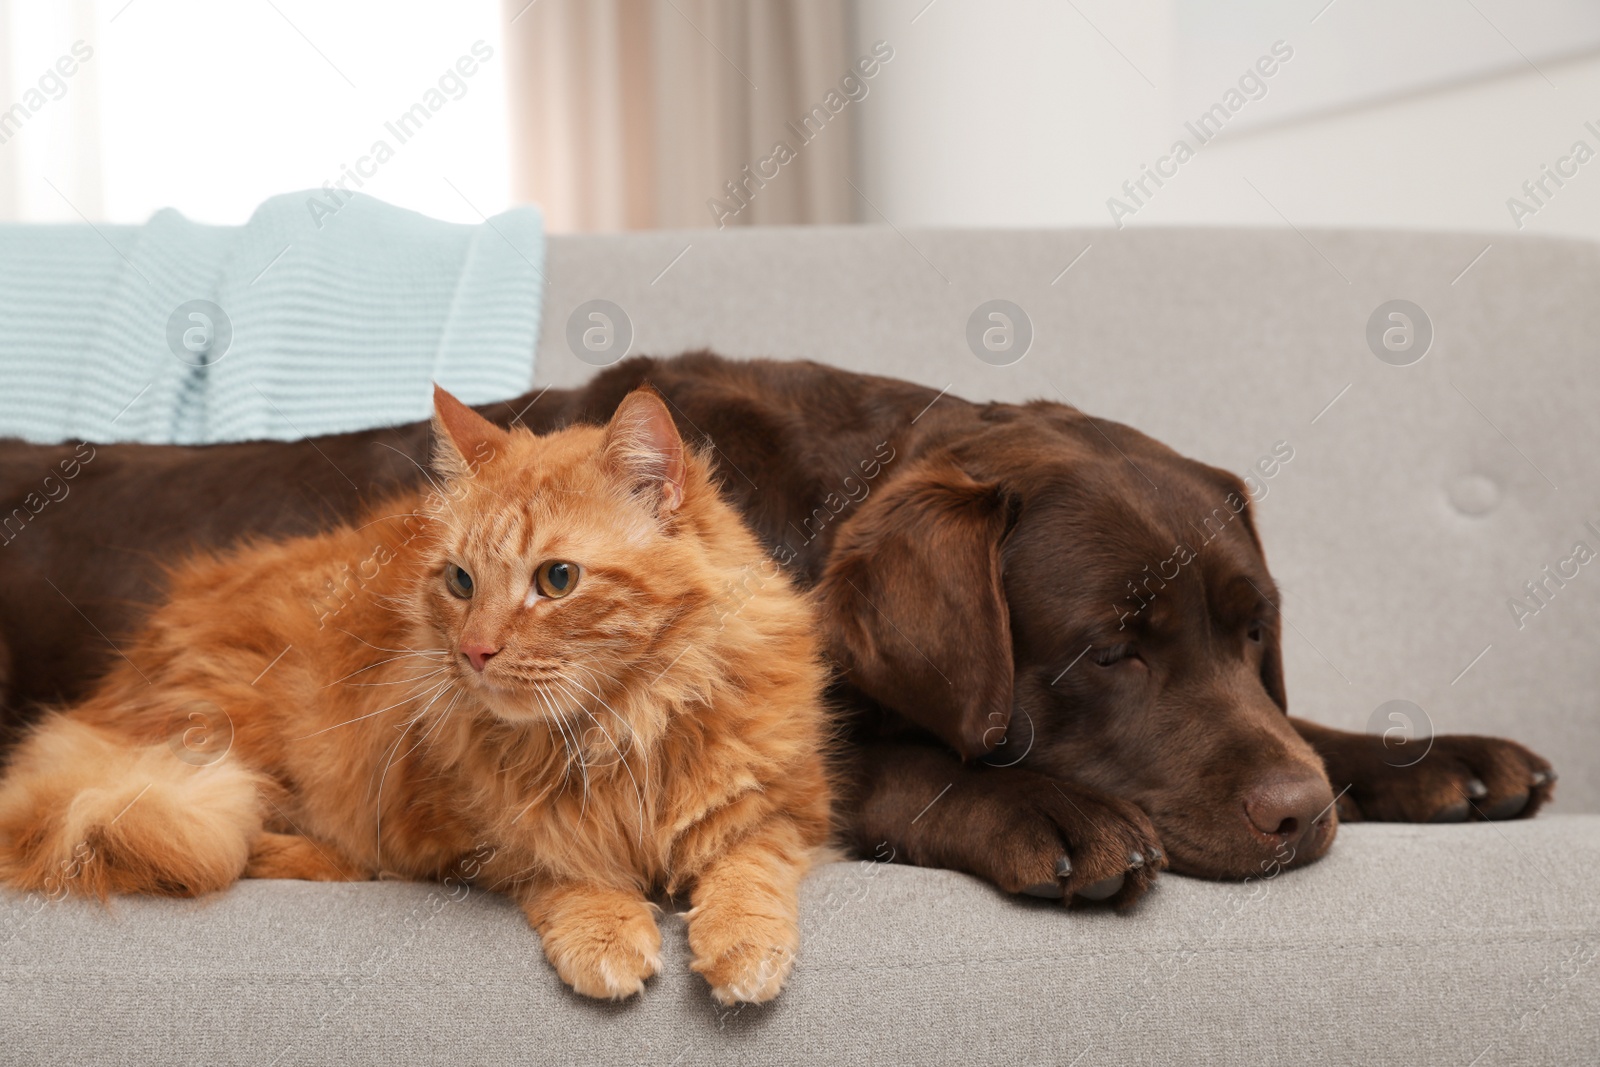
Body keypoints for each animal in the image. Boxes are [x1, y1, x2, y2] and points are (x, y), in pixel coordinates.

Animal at [3, 388, 838, 1004]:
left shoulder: (791, 808)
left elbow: (748, 863)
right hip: (227, 742)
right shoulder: (464, 837)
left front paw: (742, 946)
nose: (473, 650)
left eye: (556, 579)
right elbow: (558, 865)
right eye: (460, 580)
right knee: (224, 841)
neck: (620, 728)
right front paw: (606, 929)